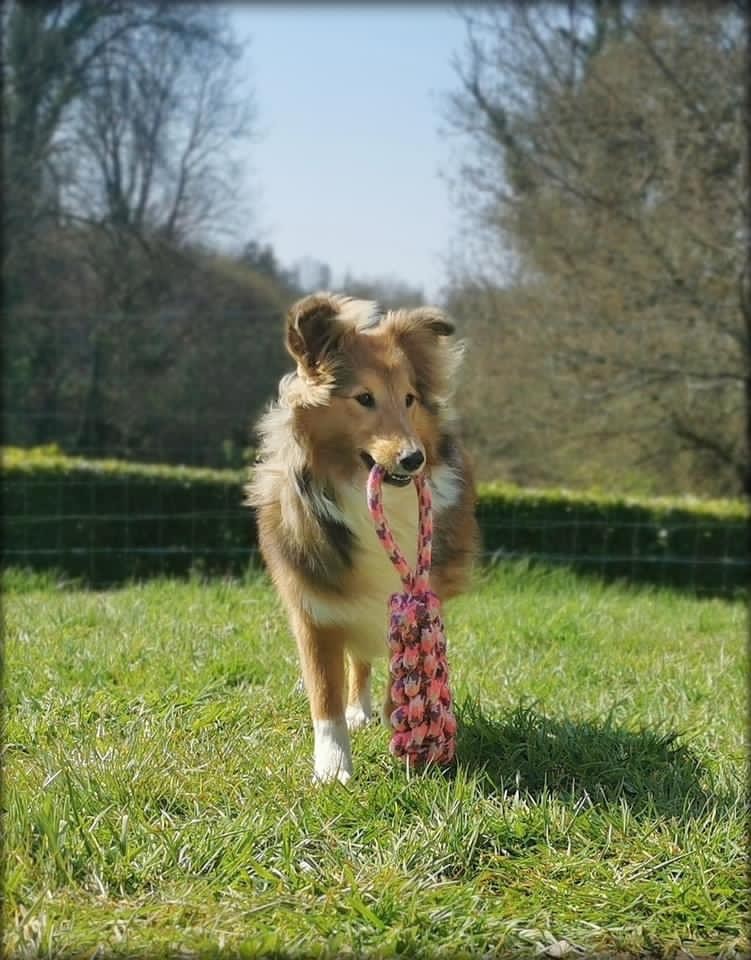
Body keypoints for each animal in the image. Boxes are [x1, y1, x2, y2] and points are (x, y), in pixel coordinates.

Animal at [250, 290, 478, 780]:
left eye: (409, 398)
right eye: (364, 398)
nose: (413, 459)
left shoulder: (411, 597)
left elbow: (402, 667)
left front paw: (407, 723)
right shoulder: (313, 608)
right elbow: (325, 695)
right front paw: (333, 767)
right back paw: (358, 711)